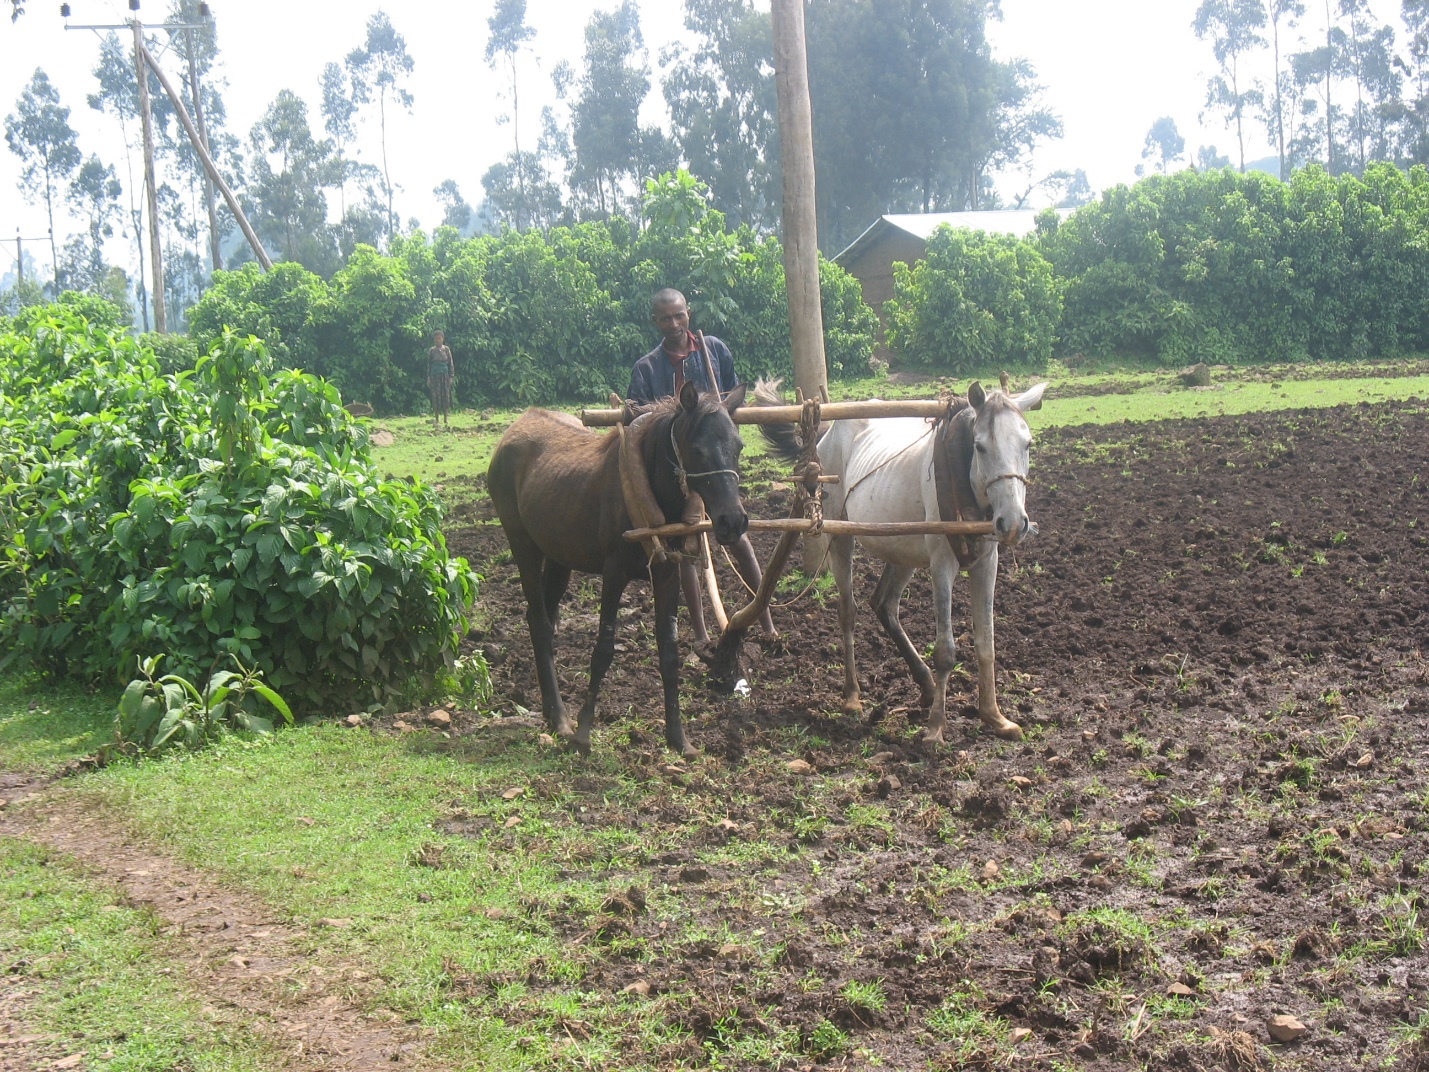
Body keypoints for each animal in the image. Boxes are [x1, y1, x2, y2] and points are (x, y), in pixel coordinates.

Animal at [488, 383, 754, 760]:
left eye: (739, 446)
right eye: (697, 449)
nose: (733, 521)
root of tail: (512, 432)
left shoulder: (667, 572)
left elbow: (669, 653)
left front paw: (679, 738)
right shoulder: (613, 574)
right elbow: (603, 650)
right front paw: (583, 733)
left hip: (558, 557)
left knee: (545, 620)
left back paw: (551, 711)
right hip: (522, 544)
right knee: (539, 621)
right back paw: (562, 719)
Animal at [760, 380, 1051, 748]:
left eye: (1028, 444)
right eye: (980, 446)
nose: (1013, 523)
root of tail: (826, 432)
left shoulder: (988, 562)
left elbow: (986, 642)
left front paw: (995, 717)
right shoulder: (941, 563)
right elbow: (945, 650)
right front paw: (936, 729)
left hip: (902, 549)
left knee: (884, 604)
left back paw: (925, 685)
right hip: (840, 534)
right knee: (848, 611)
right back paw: (852, 695)